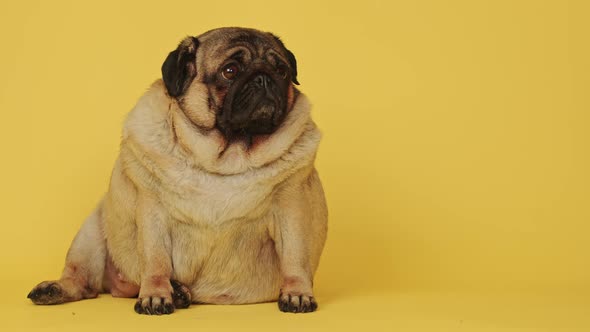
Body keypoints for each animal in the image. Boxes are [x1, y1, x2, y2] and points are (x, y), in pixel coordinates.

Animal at [27, 27, 328, 316]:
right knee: (82, 282)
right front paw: (156, 295)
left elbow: (295, 258)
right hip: (90, 233)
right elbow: (156, 260)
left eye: (282, 71)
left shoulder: (291, 208)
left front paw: (297, 293)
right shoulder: (153, 212)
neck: (228, 156)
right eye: (230, 71)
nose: (264, 78)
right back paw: (57, 289)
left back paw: (181, 292)